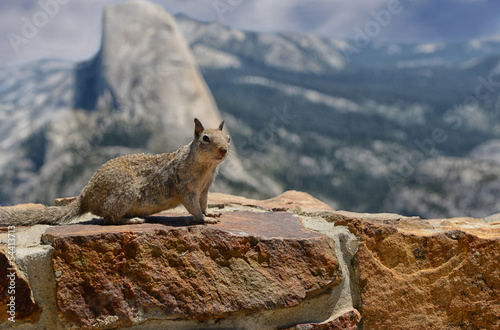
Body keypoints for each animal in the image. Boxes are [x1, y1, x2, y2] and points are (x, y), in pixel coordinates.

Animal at [0, 118, 229, 227]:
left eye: (228, 138)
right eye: (205, 138)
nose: (224, 150)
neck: (206, 167)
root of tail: (86, 196)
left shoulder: (205, 189)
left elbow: (204, 203)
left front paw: (211, 213)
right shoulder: (186, 187)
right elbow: (193, 206)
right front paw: (204, 219)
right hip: (124, 194)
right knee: (109, 218)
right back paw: (132, 220)